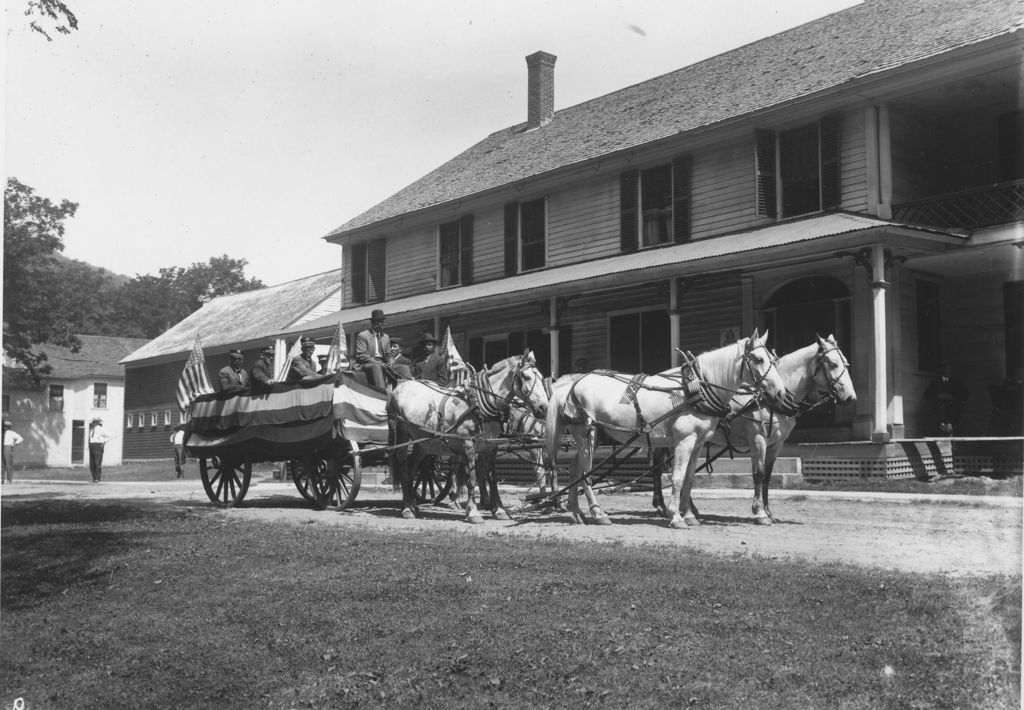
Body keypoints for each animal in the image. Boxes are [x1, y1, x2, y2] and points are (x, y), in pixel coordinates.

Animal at [385, 352, 548, 522]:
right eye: (526, 377)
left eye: (542, 377)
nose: (544, 408)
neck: (477, 405)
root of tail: (399, 387)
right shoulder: (468, 443)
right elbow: (472, 477)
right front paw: (473, 511)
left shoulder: (491, 447)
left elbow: (492, 478)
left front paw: (499, 509)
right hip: (402, 435)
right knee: (403, 467)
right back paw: (408, 507)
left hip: (423, 442)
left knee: (413, 469)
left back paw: (412, 505)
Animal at [540, 331, 786, 524]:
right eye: (758, 359)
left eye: (773, 360)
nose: (780, 393)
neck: (696, 389)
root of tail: (571, 385)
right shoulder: (684, 440)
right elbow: (676, 477)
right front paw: (676, 516)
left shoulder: (698, 442)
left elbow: (689, 478)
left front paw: (689, 515)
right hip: (586, 434)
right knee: (586, 472)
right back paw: (598, 513)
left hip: (590, 435)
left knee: (575, 468)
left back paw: (576, 513)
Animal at [655, 331, 856, 520]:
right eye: (832, 364)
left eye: (846, 364)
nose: (851, 398)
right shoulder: (758, 438)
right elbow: (758, 473)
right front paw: (759, 511)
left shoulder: (777, 444)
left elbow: (767, 475)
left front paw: (768, 511)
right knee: (659, 469)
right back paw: (663, 506)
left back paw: (687, 509)